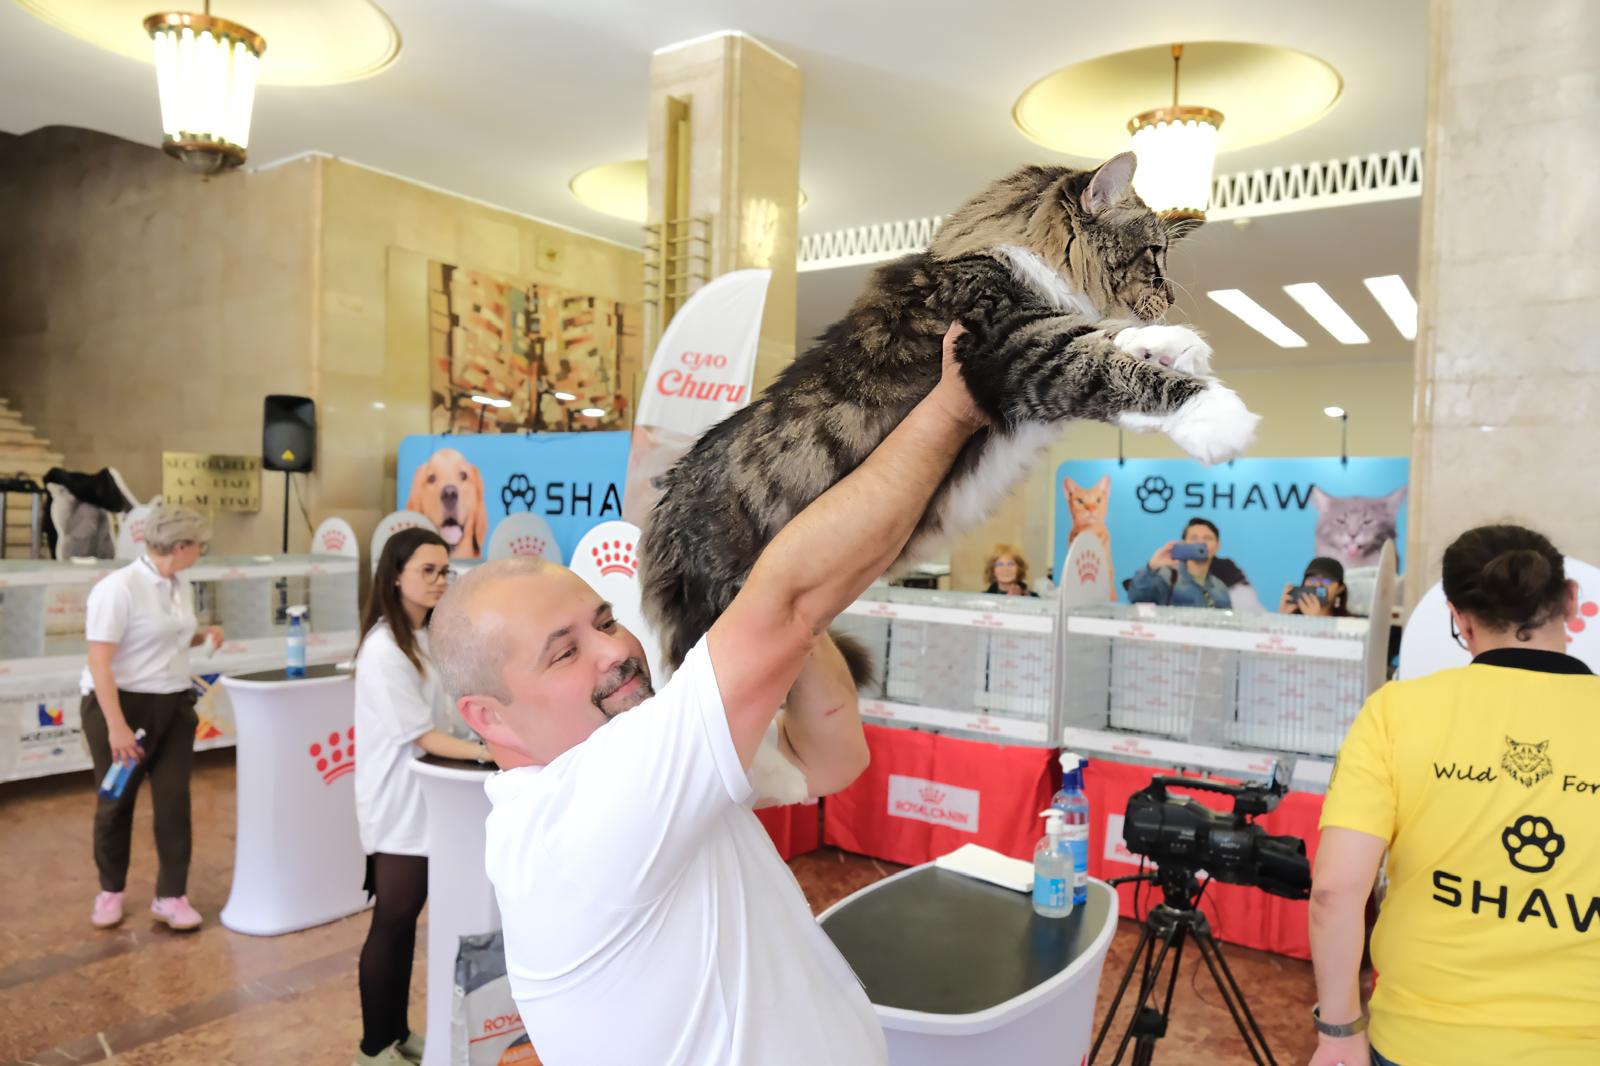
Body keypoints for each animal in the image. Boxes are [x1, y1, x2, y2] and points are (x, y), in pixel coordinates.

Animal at [639, 153, 1260, 675]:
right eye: (1154, 256)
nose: (1170, 298)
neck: (1012, 254)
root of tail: (659, 521)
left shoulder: (1036, 360)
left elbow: (1110, 342)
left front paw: (1176, 343)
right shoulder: (1015, 351)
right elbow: (1110, 366)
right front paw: (1218, 415)